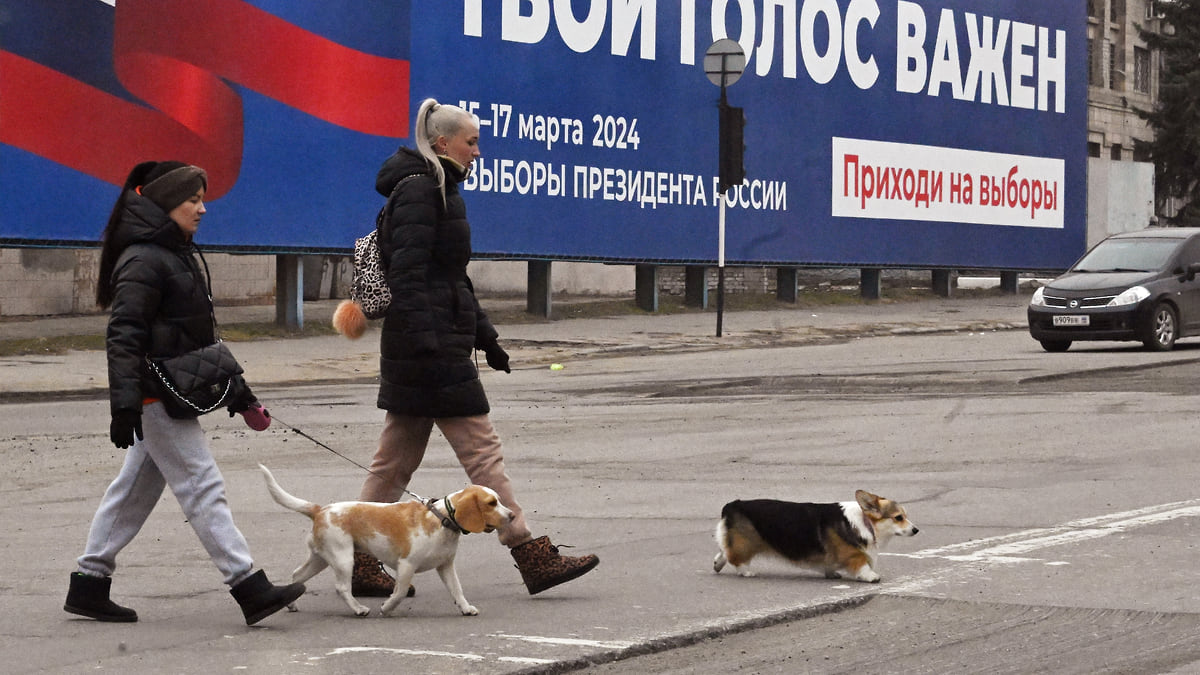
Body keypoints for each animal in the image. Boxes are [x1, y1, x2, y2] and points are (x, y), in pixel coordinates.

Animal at [258, 461, 511, 614]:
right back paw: (358, 609)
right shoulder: (406, 565)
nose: (512, 515)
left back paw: (291, 603)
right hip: (343, 559)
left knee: (297, 576)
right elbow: (399, 592)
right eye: (491, 503)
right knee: (342, 587)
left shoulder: (446, 566)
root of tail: (321, 510)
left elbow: (457, 590)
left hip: (321, 559)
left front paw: (466, 608)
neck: (441, 520)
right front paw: (387, 607)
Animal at [710, 485, 916, 581]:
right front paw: (872, 576)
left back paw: (717, 564)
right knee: (735, 558)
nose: (916, 530)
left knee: (724, 551)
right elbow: (862, 564)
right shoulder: (852, 554)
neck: (865, 523)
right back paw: (746, 572)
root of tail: (733, 505)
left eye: (905, 515)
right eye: (898, 517)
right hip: (747, 543)